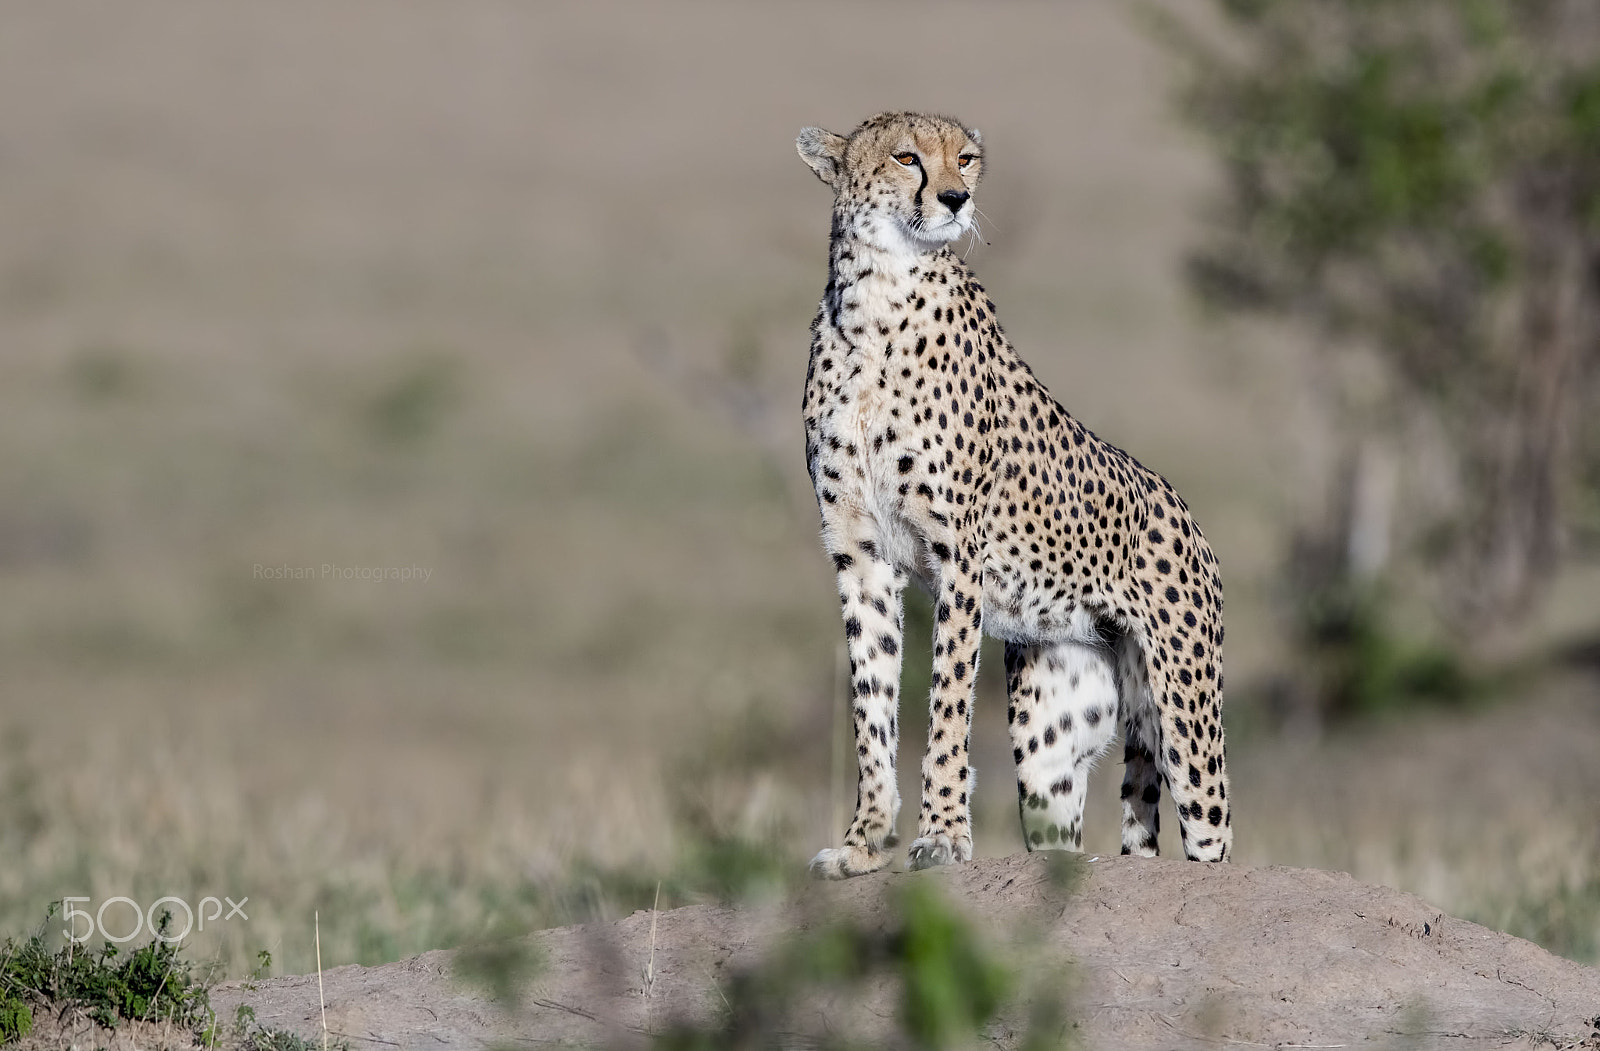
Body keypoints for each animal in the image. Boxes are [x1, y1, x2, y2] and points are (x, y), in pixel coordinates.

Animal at [800, 112, 1235, 876]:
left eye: (967, 159)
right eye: (906, 158)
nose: (954, 199)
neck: (877, 299)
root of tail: (1183, 510)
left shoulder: (958, 556)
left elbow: (946, 703)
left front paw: (943, 835)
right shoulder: (858, 555)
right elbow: (871, 704)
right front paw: (864, 842)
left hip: (1187, 713)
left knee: (1211, 833)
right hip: (1051, 740)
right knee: (1062, 830)